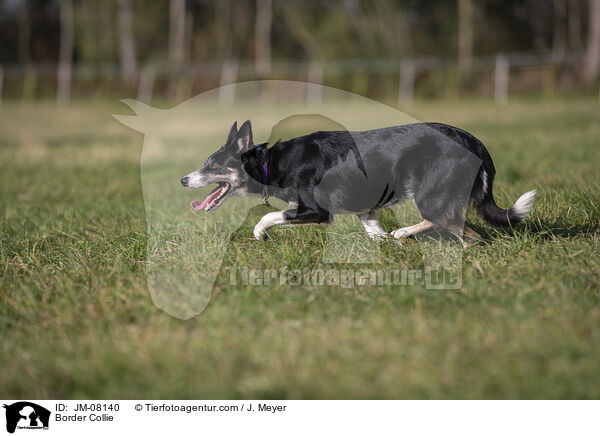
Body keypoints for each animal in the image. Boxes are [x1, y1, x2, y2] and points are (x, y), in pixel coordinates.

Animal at [180, 119, 536, 245]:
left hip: (431, 196)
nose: (183, 179)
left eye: (212, 165)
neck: (270, 164)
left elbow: (268, 215)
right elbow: (375, 233)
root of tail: (473, 141)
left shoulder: (316, 212)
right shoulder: (367, 211)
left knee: (465, 232)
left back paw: (408, 233)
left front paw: (259, 233)